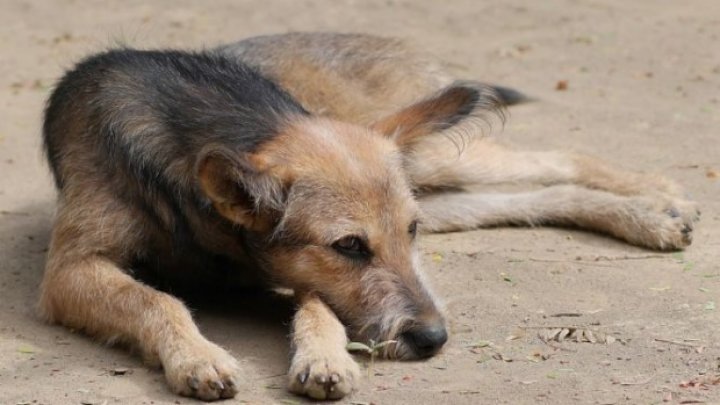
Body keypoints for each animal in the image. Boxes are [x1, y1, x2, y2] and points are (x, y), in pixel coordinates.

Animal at [38, 32, 696, 400]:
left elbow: (319, 307)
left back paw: (659, 195)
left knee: (559, 157)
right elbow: (157, 300)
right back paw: (652, 215)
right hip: (441, 186)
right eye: (350, 246)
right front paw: (199, 357)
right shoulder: (70, 272)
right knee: (540, 194)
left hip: (436, 163)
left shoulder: (290, 271)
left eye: (408, 233)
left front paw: (324, 358)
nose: (434, 340)